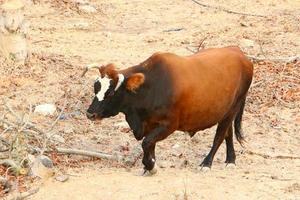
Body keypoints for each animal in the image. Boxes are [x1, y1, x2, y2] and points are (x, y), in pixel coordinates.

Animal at [85, 46, 253, 175]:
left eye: (110, 93)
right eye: (96, 88)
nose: (90, 113)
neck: (151, 87)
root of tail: (239, 53)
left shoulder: (169, 125)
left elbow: (146, 143)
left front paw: (150, 166)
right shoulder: (149, 124)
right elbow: (149, 144)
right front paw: (149, 165)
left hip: (233, 108)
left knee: (219, 136)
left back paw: (206, 163)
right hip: (226, 111)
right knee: (228, 133)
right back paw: (230, 160)